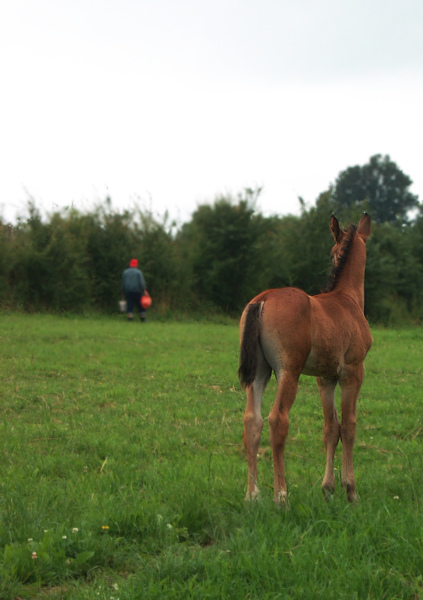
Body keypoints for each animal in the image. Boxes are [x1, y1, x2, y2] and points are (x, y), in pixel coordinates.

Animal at [240, 213, 372, 504]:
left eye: (333, 252)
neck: (348, 300)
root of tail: (263, 300)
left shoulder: (326, 378)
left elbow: (330, 429)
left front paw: (328, 488)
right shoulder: (353, 372)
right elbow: (349, 426)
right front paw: (351, 490)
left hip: (260, 372)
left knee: (252, 420)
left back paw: (253, 495)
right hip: (288, 371)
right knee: (277, 420)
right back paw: (281, 495)